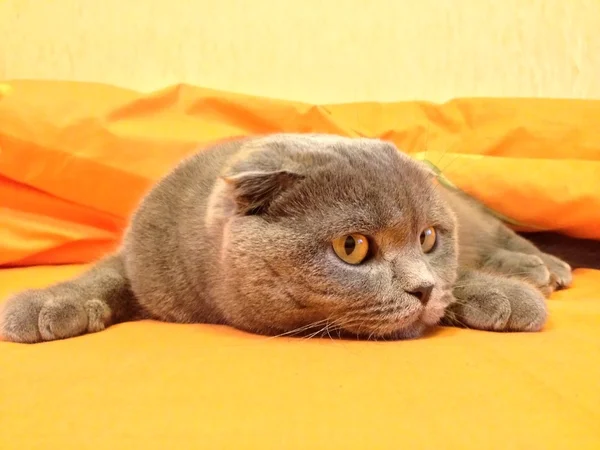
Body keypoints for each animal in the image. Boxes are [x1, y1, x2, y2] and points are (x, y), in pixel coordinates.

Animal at [0, 132, 572, 342]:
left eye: (428, 239)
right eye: (352, 247)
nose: (424, 288)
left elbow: (464, 276)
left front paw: (502, 294)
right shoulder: (141, 258)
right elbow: (98, 276)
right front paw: (44, 304)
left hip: (479, 218)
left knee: (509, 237)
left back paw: (542, 268)